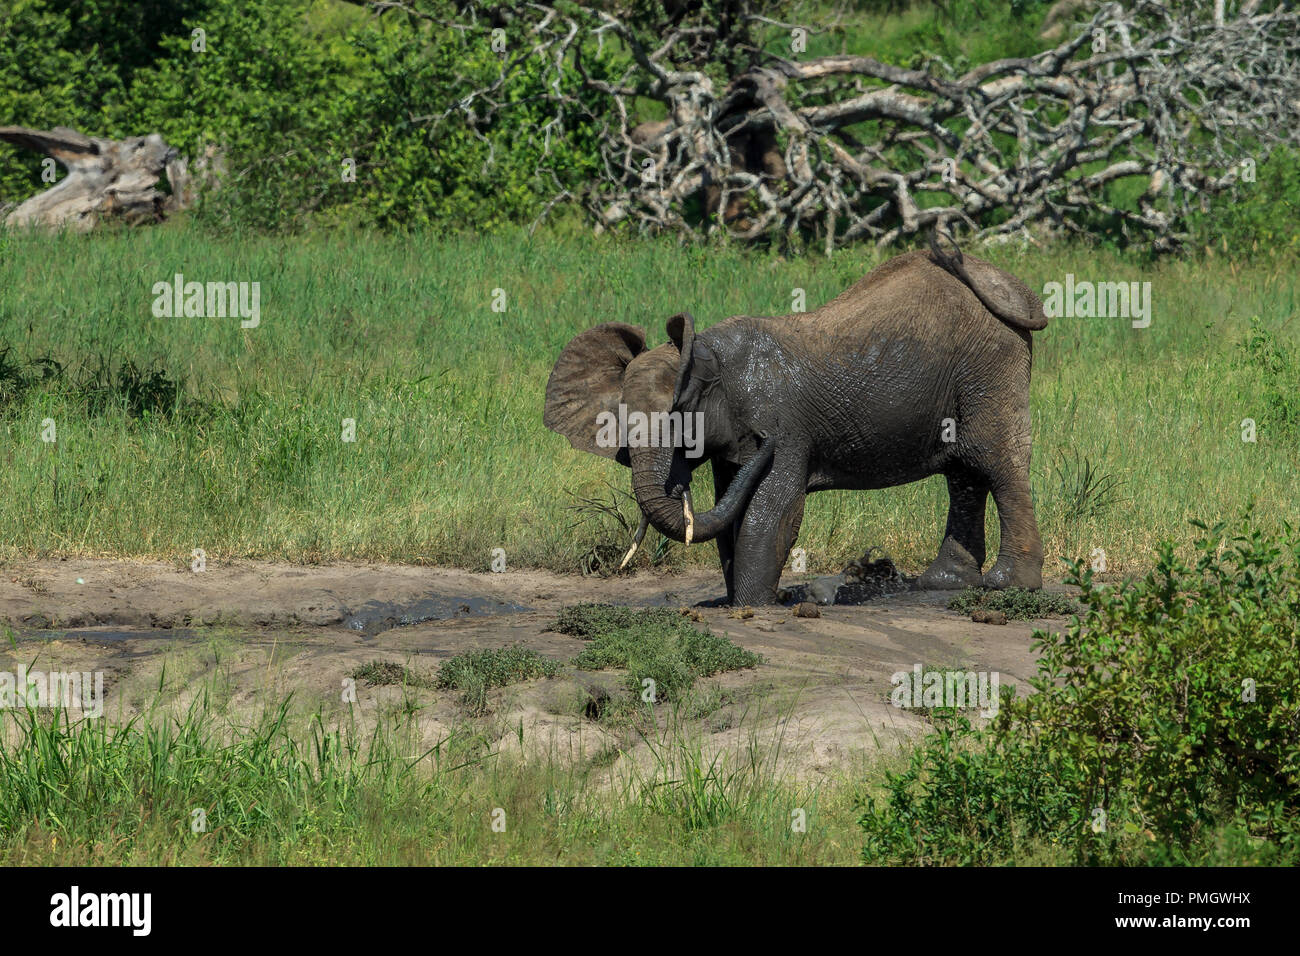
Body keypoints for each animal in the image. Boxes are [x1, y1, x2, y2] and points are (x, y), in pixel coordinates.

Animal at [543, 234, 1050, 606]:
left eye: (675, 420)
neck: (709, 354)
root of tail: (1008, 285)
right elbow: (731, 506)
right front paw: (739, 602)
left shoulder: (783, 425)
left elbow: (773, 508)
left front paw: (753, 607)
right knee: (964, 473)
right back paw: (943, 584)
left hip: (992, 361)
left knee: (995, 460)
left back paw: (1007, 585)